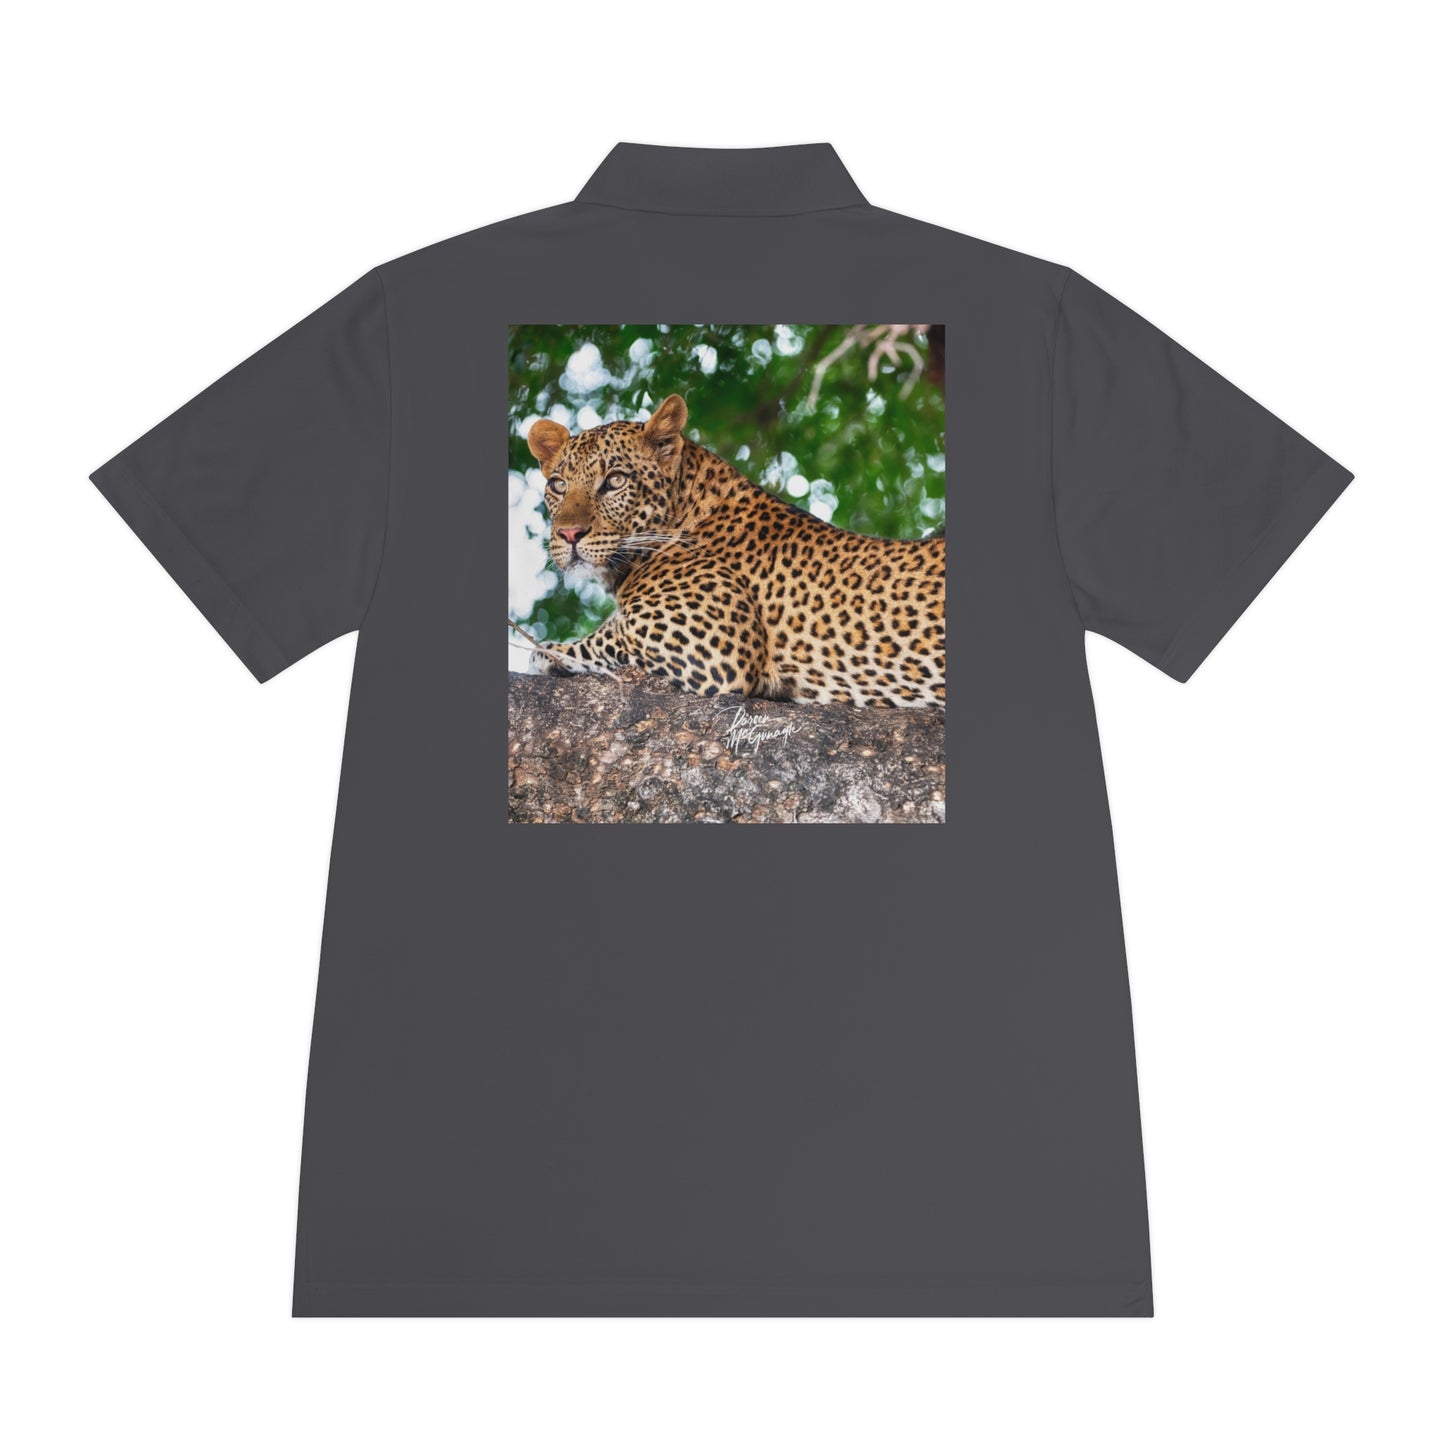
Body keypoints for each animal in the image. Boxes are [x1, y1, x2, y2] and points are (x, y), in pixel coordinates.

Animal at [525, 394, 945, 707]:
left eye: (614, 480)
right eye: (559, 485)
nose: (569, 534)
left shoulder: (706, 645)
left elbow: (603, 640)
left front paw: (546, 651)